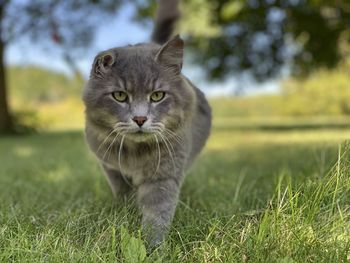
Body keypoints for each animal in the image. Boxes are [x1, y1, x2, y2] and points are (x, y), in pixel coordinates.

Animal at [82, 0, 211, 248]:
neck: (135, 152)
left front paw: (152, 245)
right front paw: (126, 213)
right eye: (120, 96)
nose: (140, 119)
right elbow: (123, 192)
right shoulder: (110, 166)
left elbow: (157, 211)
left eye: (157, 95)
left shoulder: (164, 172)